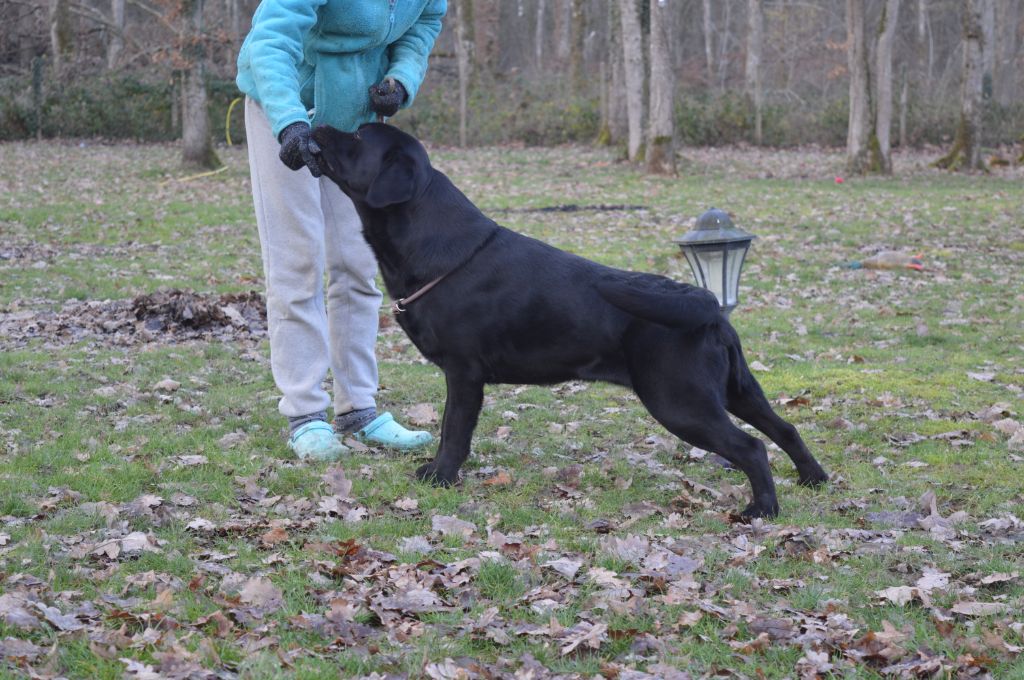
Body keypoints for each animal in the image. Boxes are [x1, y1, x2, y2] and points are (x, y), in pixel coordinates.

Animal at [307, 123, 827, 516]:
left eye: (357, 135)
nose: (319, 123)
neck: (436, 247)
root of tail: (706, 301)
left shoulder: (463, 372)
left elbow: (453, 431)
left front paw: (440, 477)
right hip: (737, 390)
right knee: (784, 428)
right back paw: (813, 479)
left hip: (681, 401)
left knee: (751, 447)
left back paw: (763, 509)